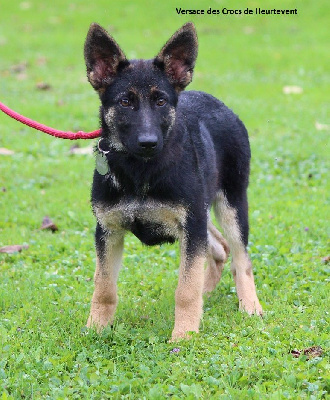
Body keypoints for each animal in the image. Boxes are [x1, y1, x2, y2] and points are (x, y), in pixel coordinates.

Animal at [85, 22, 262, 340]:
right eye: (125, 101)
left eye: (160, 101)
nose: (148, 142)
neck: (140, 171)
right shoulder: (108, 230)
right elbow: (104, 287)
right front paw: (96, 329)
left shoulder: (191, 228)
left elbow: (186, 289)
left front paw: (185, 336)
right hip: (199, 216)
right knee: (219, 248)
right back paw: (208, 292)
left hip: (230, 205)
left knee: (241, 258)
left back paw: (250, 305)